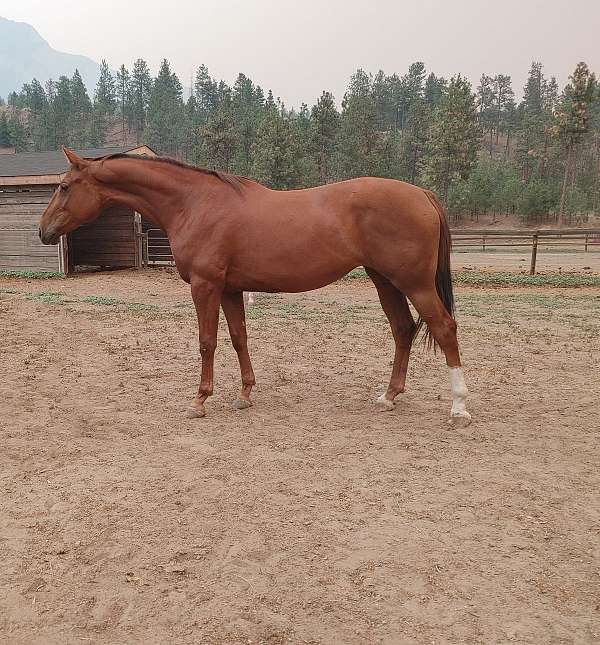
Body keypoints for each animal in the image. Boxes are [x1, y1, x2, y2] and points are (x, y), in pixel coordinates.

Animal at [37, 148, 472, 426]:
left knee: (444, 328)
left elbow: (207, 342)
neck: (195, 203)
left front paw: (199, 400)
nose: (43, 232)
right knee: (403, 330)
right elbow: (238, 337)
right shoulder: (230, 289)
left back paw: (458, 408)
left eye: (64, 186)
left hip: (414, 283)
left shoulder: (205, 286)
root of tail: (422, 194)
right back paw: (389, 396)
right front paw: (245, 394)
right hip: (385, 280)